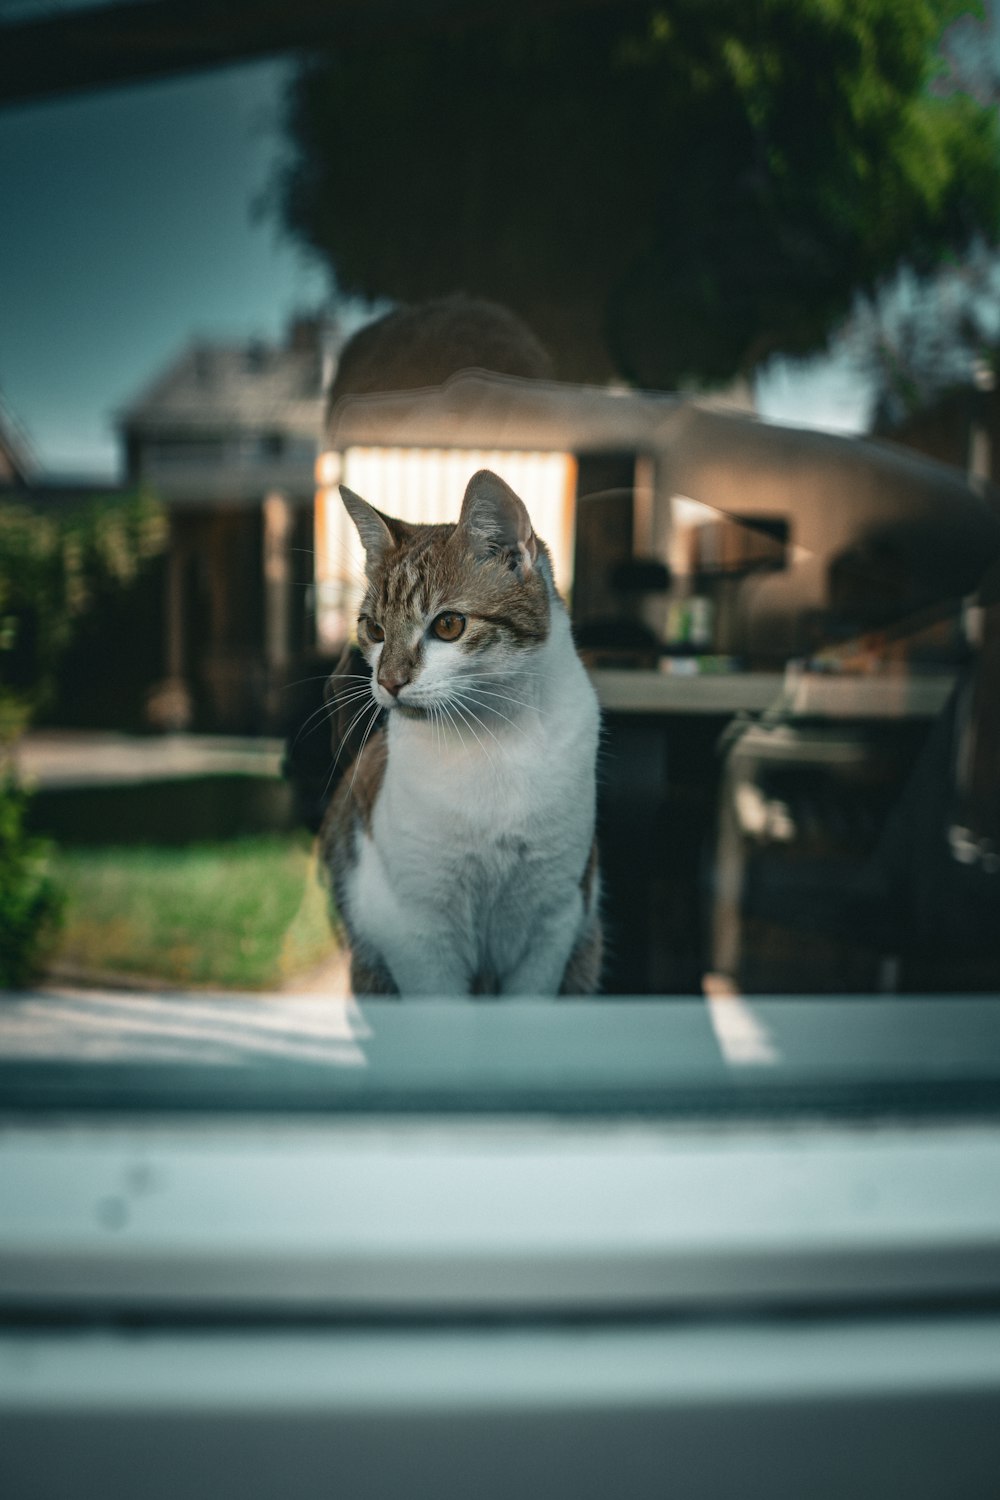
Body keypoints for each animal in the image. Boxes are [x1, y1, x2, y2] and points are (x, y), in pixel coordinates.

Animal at [322, 462, 602, 990]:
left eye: (448, 625)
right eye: (374, 629)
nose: (388, 681)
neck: (493, 739)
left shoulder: (553, 918)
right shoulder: (419, 928)